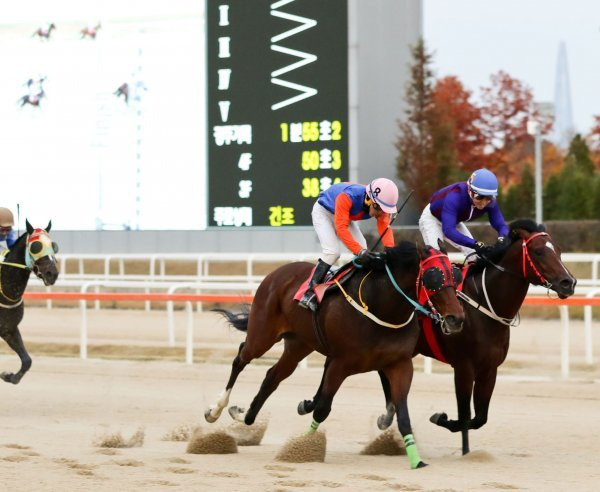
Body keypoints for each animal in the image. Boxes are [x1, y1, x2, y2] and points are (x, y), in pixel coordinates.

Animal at [0, 219, 58, 384]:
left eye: (53, 245)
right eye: (36, 246)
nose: (52, 274)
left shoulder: (9, 329)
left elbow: (27, 361)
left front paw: (8, 375)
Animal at [205, 242, 464, 468]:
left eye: (455, 274)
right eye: (433, 276)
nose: (456, 319)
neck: (381, 306)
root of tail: (278, 272)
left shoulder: (399, 365)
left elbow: (402, 414)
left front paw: (416, 460)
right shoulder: (340, 363)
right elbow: (322, 408)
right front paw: (302, 447)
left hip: (298, 345)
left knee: (272, 377)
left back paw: (244, 416)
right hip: (262, 335)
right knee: (241, 358)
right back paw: (216, 410)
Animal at [376, 219, 576, 454]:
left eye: (559, 251)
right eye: (538, 252)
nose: (569, 283)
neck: (484, 307)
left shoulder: (489, 368)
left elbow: (480, 417)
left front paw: (457, 437)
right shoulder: (464, 367)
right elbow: (464, 417)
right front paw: (444, 423)